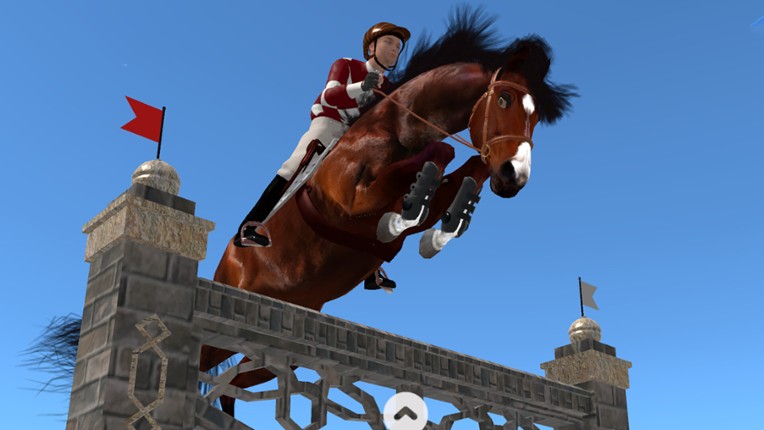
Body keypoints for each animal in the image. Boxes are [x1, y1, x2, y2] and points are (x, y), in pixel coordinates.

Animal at [201, 9, 577, 417]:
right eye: (504, 100)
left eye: (535, 117)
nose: (514, 177)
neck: (397, 127)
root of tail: (226, 260)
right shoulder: (348, 199)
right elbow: (439, 157)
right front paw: (400, 219)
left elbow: (462, 171)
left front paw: (438, 232)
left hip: (277, 341)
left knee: (233, 383)